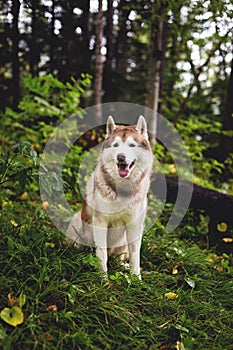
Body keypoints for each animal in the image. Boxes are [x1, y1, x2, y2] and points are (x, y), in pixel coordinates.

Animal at [66, 115, 153, 278]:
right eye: (116, 145)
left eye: (132, 145)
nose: (121, 157)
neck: (123, 190)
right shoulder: (101, 222)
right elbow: (102, 255)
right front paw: (103, 279)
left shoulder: (135, 224)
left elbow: (135, 256)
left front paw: (136, 279)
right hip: (77, 221)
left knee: (121, 257)